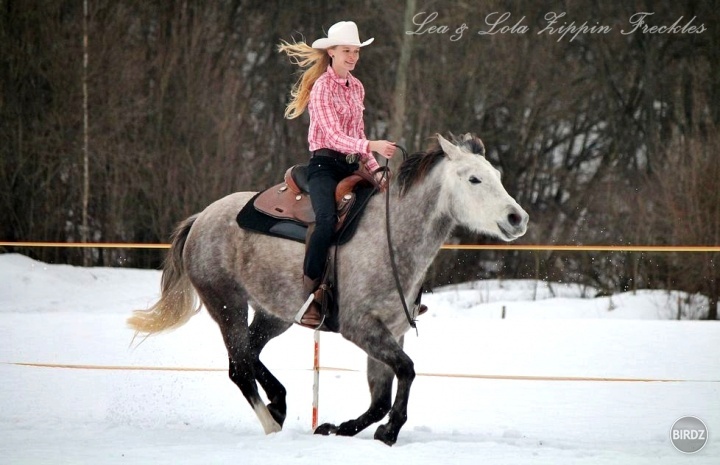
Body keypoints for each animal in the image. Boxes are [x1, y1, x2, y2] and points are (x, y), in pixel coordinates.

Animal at [128, 132, 528, 444]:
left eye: (496, 176)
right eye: (474, 179)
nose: (517, 218)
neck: (391, 236)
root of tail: (201, 218)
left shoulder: (390, 332)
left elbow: (382, 395)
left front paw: (340, 428)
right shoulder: (360, 328)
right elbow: (407, 371)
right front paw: (389, 432)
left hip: (275, 314)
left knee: (250, 354)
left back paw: (279, 402)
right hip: (226, 304)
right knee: (239, 368)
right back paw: (273, 425)